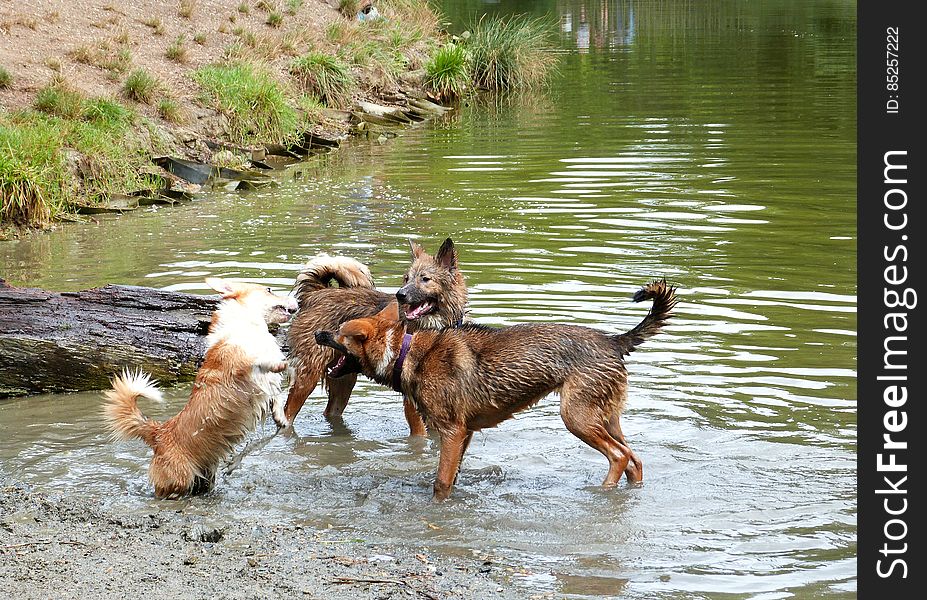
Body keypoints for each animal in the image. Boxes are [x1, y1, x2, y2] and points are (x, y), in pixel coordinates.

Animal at [103, 278, 298, 500]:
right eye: (269, 289)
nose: (297, 302)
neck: (247, 326)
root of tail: (157, 434)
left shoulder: (267, 387)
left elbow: (277, 396)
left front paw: (281, 418)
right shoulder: (238, 364)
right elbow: (260, 362)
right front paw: (280, 364)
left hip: (205, 477)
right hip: (178, 482)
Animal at [280, 237, 472, 434]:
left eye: (425, 279)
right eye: (406, 278)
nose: (400, 294)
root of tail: (317, 292)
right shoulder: (411, 401)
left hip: (343, 378)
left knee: (330, 412)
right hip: (307, 377)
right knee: (287, 413)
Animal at [316, 282, 676, 502]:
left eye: (338, 333)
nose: (319, 332)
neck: (404, 351)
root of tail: (614, 341)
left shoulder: (451, 431)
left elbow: (441, 482)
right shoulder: (464, 434)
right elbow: (452, 476)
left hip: (577, 418)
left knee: (619, 456)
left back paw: (601, 491)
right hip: (606, 417)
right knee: (634, 458)